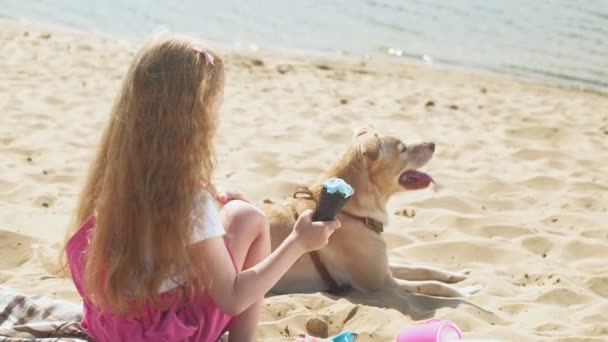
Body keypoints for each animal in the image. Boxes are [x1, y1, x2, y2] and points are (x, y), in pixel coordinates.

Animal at [262, 127, 480, 298]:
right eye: (403, 149)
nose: (433, 144)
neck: (350, 211)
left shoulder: (384, 267)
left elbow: (422, 268)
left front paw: (460, 275)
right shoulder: (384, 283)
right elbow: (433, 285)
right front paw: (466, 291)